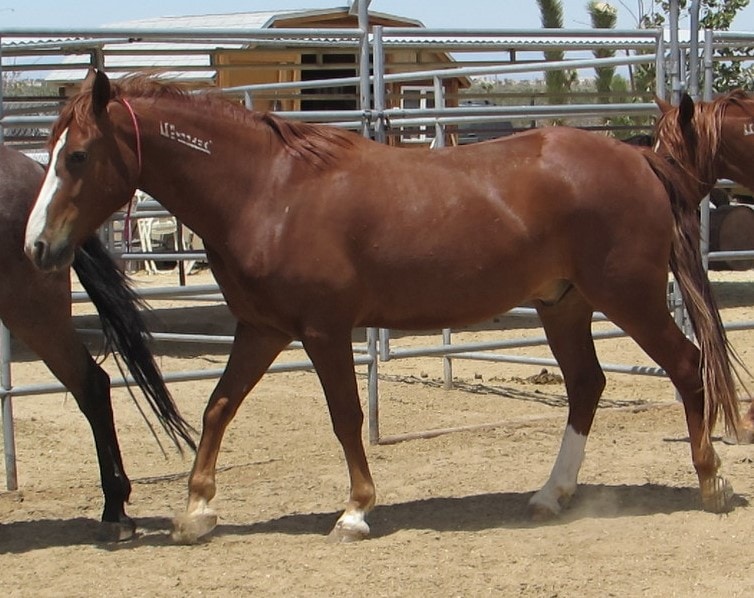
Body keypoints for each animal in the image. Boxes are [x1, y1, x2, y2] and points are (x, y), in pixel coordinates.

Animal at [22, 70, 740, 544]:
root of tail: (641, 161)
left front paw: (355, 512)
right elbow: (218, 407)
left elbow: (345, 417)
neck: (268, 191)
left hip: (629, 298)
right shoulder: (263, 329)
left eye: (76, 156)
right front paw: (196, 512)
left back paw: (712, 484)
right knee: (587, 384)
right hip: (563, 306)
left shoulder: (323, 330)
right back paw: (550, 494)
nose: (36, 247)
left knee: (687, 366)